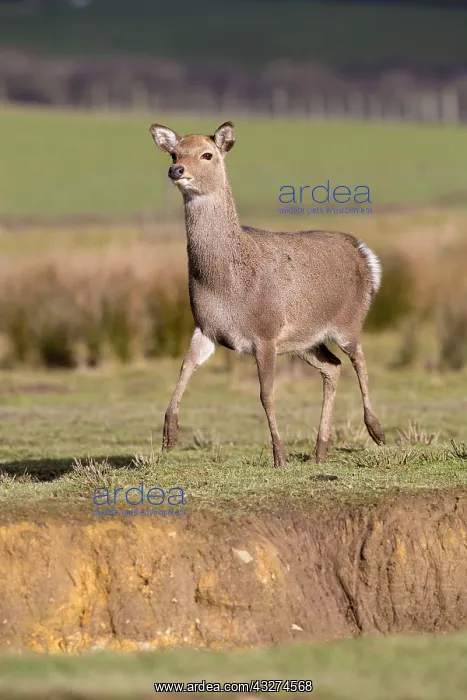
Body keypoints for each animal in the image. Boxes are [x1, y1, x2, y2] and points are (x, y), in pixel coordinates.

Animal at [149, 121, 385, 468]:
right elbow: (184, 368)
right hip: (305, 341)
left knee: (360, 361)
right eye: (174, 152)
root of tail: (365, 254)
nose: (176, 170)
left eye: (207, 154)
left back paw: (376, 430)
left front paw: (279, 456)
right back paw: (320, 450)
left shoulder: (266, 333)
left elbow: (266, 394)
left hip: (349, 323)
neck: (226, 285)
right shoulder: (205, 327)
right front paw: (169, 435)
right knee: (333, 367)